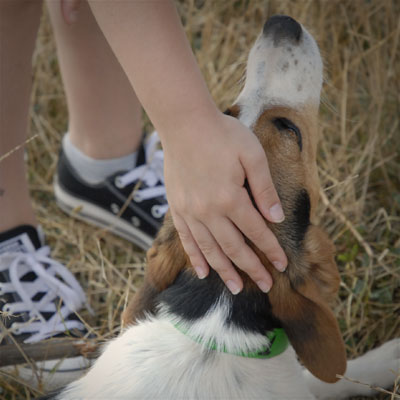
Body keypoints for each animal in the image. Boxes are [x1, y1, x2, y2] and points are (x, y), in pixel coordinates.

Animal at [43, 14, 396, 400]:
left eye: (227, 113)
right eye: (291, 129)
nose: (281, 22)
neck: (215, 323)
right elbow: (332, 378)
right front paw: (390, 357)